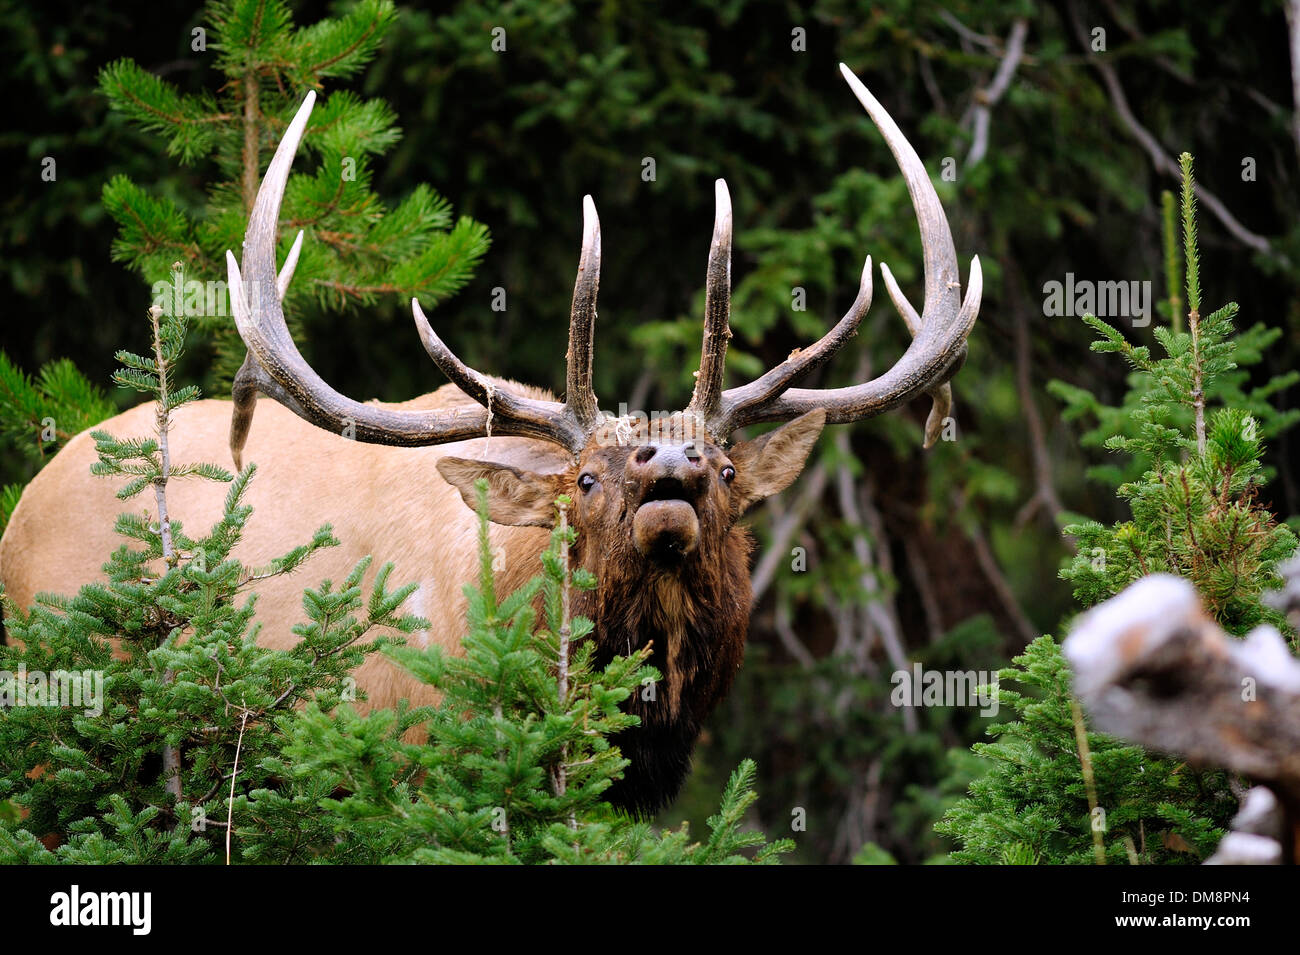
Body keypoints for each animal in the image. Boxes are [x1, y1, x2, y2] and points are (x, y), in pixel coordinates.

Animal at [0, 65, 977, 815]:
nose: (673, 463)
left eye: (732, 469)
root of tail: (24, 503)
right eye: (584, 479)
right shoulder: (403, 764)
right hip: (55, 706)